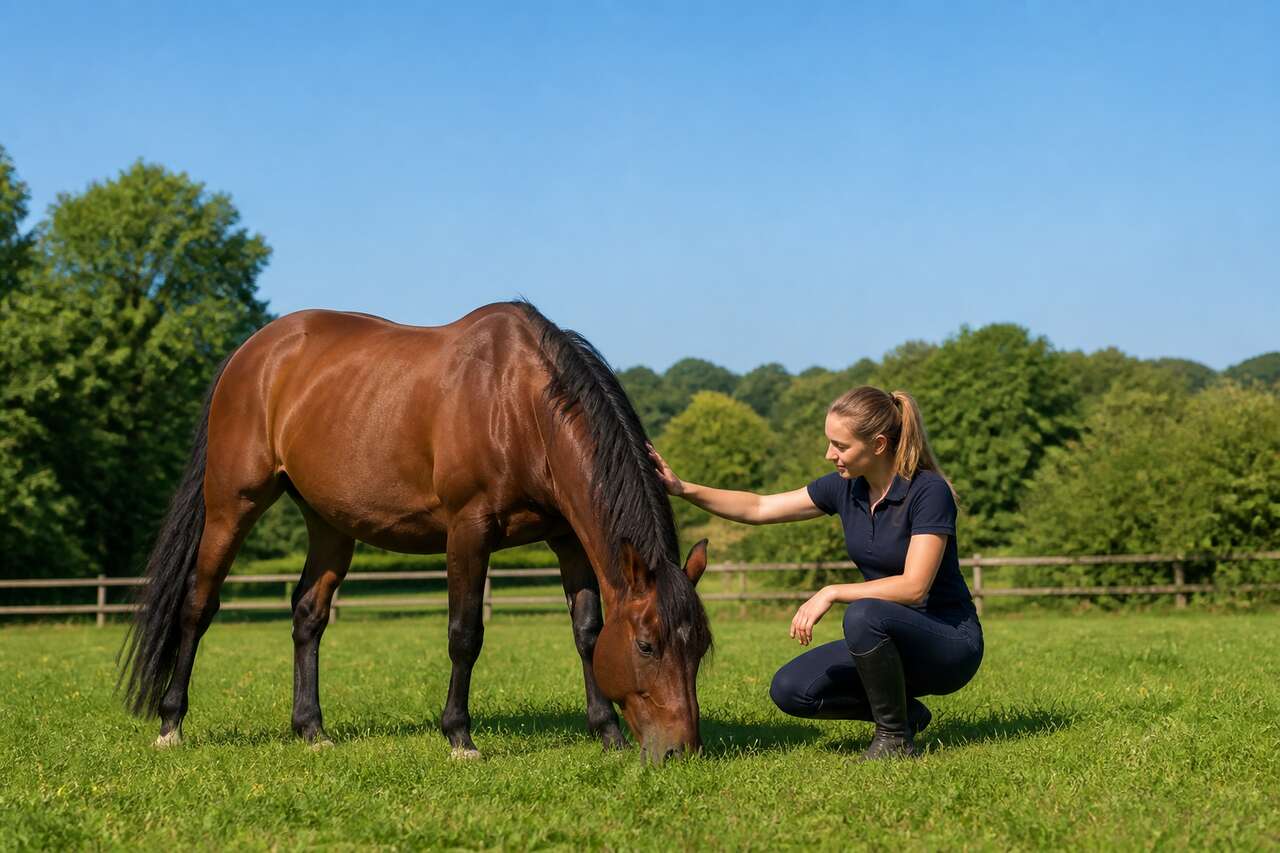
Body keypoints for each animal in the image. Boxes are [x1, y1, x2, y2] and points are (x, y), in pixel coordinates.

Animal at [118, 301, 712, 761]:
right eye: (647, 645)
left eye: (702, 646)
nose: (680, 751)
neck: (518, 404)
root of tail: (252, 352)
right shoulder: (469, 529)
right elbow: (465, 634)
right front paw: (460, 737)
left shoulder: (568, 538)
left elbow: (586, 631)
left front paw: (606, 731)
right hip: (231, 505)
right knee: (197, 605)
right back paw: (170, 724)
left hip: (329, 522)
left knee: (308, 615)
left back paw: (311, 730)